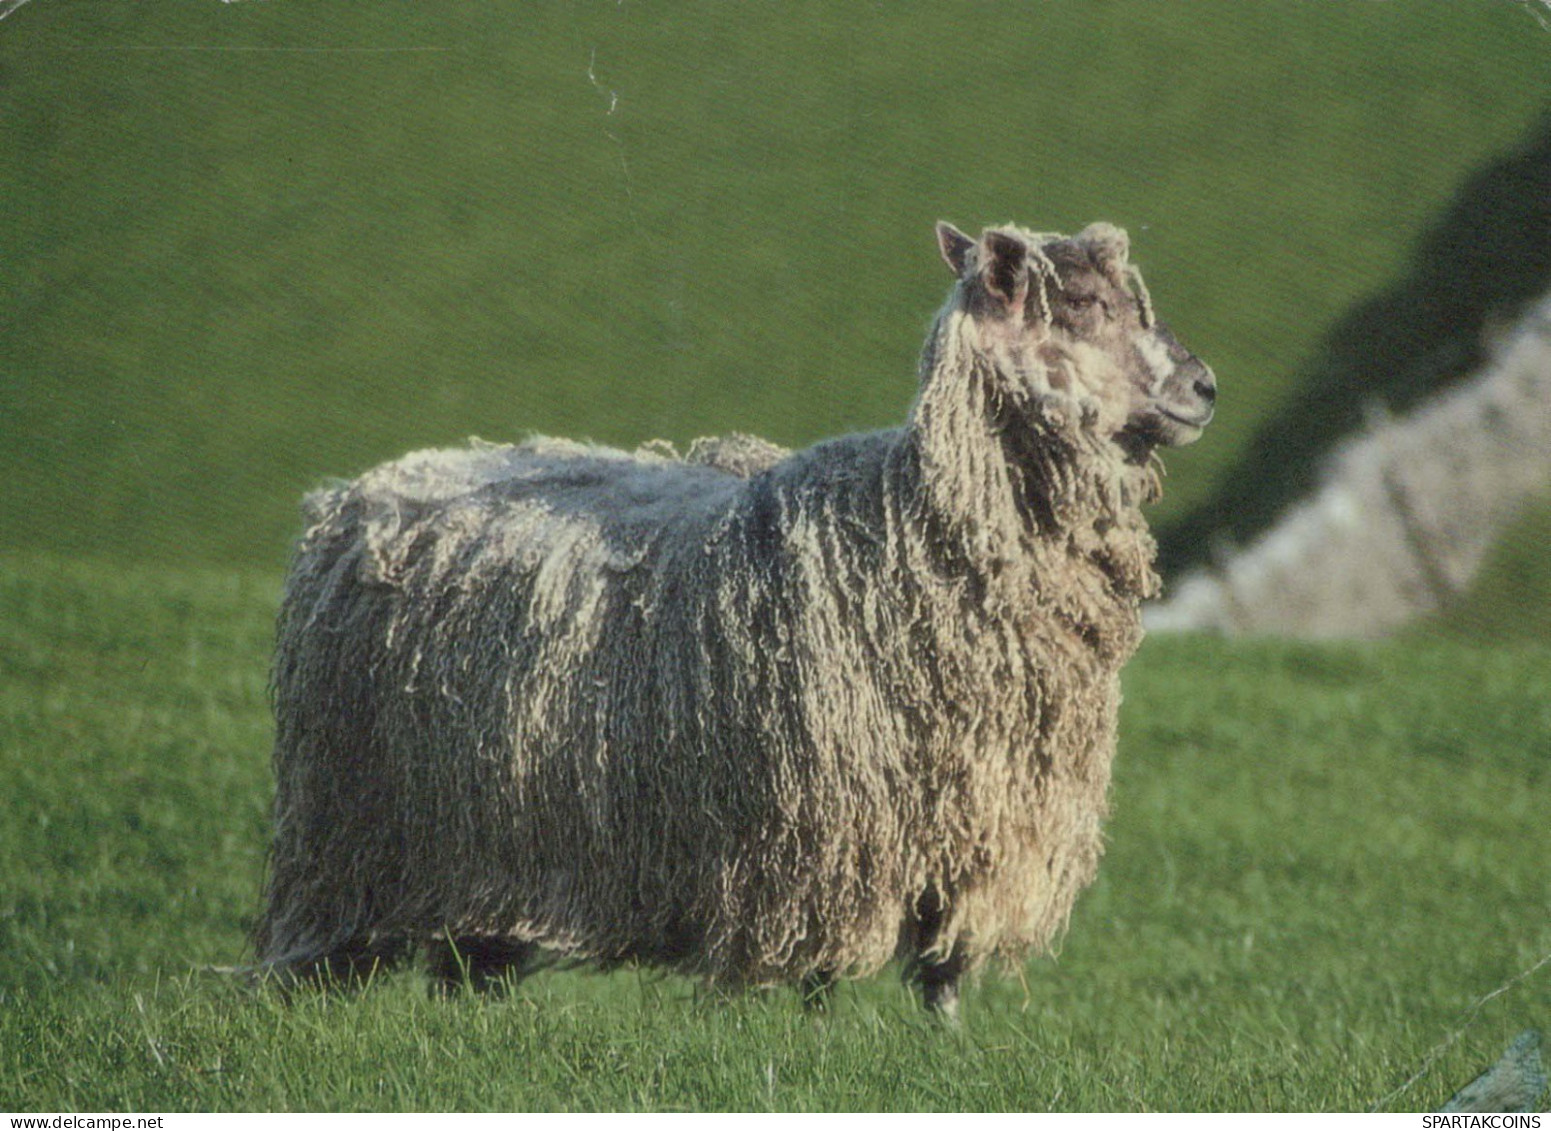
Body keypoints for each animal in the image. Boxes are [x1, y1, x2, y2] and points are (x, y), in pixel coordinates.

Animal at [254, 220, 1215, 1017]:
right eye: (1083, 305)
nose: (1205, 385)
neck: (912, 528)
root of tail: (362, 489)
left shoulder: (985, 823)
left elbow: (942, 971)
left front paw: (945, 1050)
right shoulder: (827, 829)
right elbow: (822, 978)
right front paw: (822, 1044)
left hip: (488, 836)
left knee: (471, 960)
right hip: (356, 834)